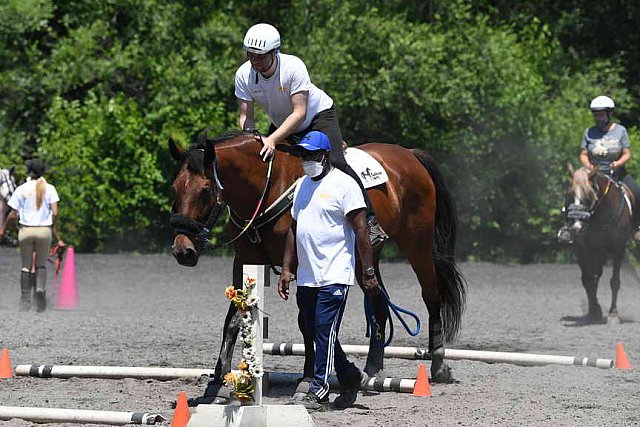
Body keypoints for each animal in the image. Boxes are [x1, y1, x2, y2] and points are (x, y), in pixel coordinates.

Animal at [169, 131, 464, 404]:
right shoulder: (242, 261)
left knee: (431, 295)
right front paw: (216, 383)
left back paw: (439, 366)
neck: (267, 188)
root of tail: (409, 154)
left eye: (205, 190)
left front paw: (308, 379)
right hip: (366, 259)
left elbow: (308, 322)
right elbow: (231, 321)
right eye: (175, 187)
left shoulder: (304, 267)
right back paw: (370, 370)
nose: (183, 251)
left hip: (417, 244)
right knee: (378, 301)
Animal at [564, 167, 632, 324]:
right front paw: (595, 311)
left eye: (589, 194)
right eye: (569, 194)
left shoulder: (618, 249)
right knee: (591, 278)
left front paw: (613, 314)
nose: (576, 227)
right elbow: (589, 279)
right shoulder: (584, 249)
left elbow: (614, 281)